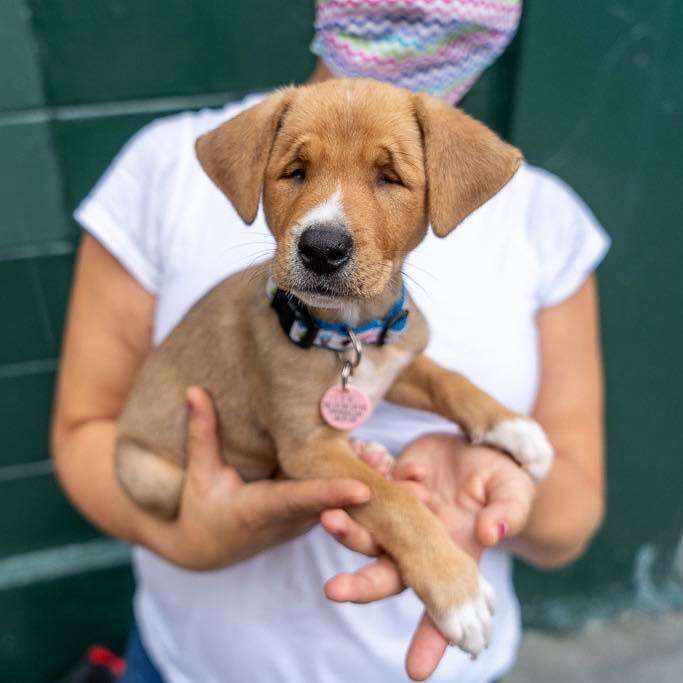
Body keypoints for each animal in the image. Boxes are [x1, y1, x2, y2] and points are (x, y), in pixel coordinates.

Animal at [116, 79, 556, 656]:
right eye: (294, 171)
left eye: (389, 177)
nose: (322, 248)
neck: (348, 334)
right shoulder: (308, 448)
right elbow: (395, 503)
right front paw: (456, 591)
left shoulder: (397, 362)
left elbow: (449, 379)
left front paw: (513, 428)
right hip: (148, 475)